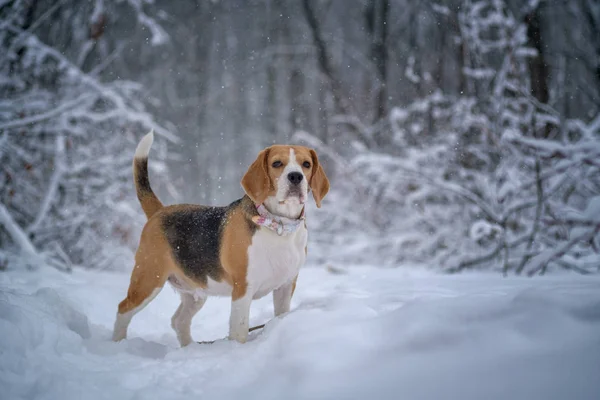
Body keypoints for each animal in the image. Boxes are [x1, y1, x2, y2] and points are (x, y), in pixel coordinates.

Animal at [111, 131, 328, 344]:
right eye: (276, 163)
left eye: (306, 164)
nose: (296, 176)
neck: (279, 225)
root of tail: (160, 211)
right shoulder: (243, 289)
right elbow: (239, 331)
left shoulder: (286, 285)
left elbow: (281, 315)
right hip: (148, 280)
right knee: (123, 309)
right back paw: (118, 342)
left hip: (195, 292)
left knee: (179, 321)